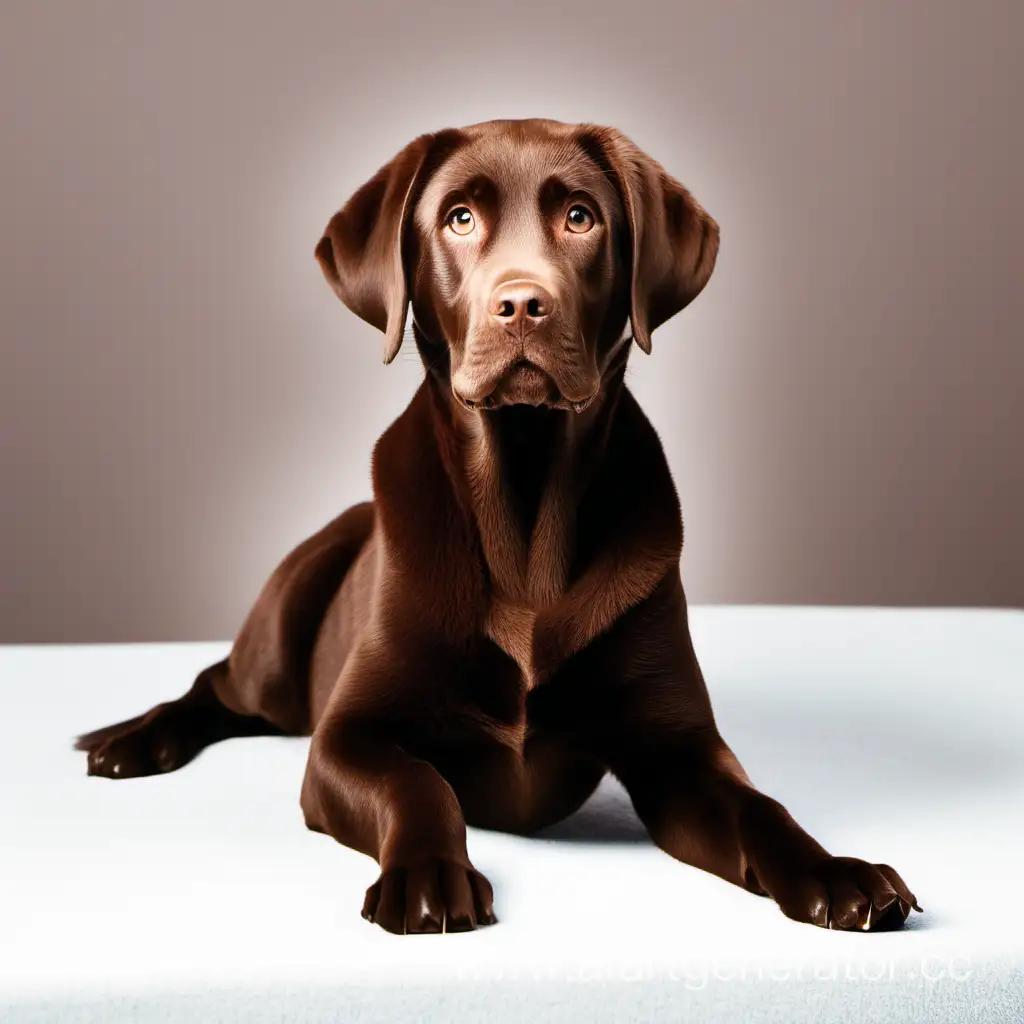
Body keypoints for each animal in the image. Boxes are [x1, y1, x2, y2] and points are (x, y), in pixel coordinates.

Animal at [74, 117, 921, 937]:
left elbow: (761, 808)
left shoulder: (680, 750)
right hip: (285, 632)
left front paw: (835, 873)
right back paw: (129, 740)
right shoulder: (345, 739)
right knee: (216, 684)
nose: (521, 305)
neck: (525, 502)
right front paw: (426, 876)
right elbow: (418, 783)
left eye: (581, 217)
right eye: (459, 218)